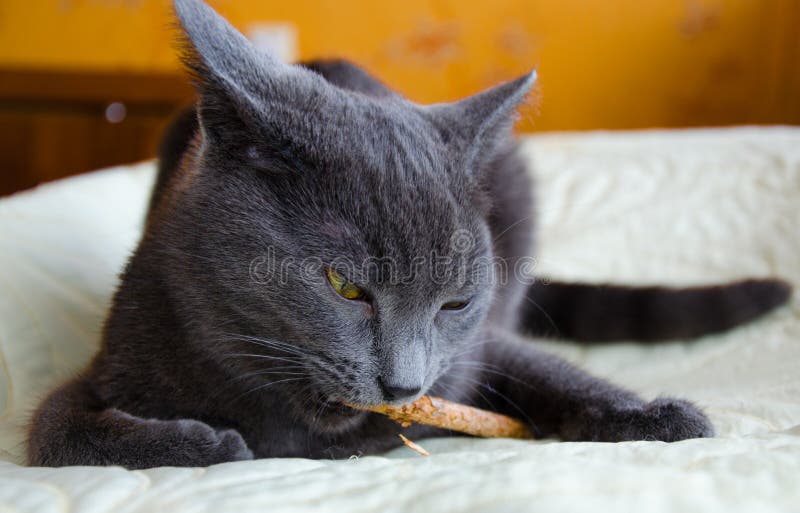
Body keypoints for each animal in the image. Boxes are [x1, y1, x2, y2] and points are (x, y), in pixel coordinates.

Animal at [25, 0, 788, 468]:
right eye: (344, 286)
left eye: (455, 303)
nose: (404, 383)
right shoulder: (119, 357)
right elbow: (57, 432)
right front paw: (213, 444)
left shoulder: (479, 347)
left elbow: (546, 369)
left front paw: (655, 416)